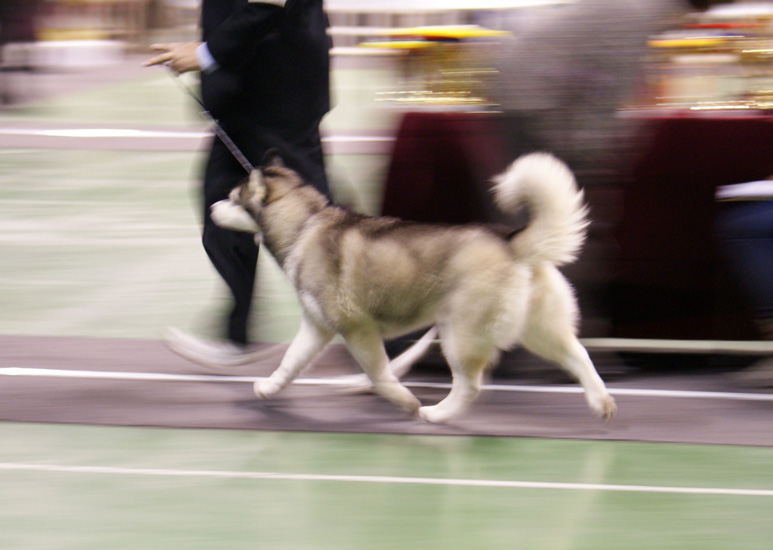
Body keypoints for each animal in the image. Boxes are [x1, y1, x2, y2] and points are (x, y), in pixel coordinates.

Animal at [210, 151, 617, 423]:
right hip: (538, 331)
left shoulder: (357, 327)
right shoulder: (317, 326)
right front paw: (268, 388)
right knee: (579, 355)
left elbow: (379, 374)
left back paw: (436, 414)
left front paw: (402, 400)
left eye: (233, 197)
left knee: (470, 385)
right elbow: (290, 362)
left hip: (460, 334)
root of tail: (512, 243)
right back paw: (601, 402)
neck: (302, 226)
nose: (211, 208)